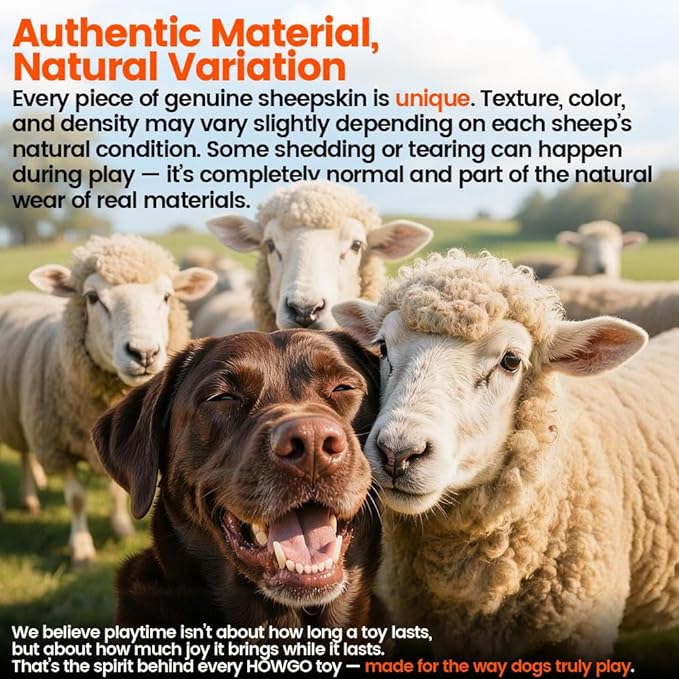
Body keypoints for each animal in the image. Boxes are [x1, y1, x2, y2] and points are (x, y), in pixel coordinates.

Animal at [0, 235, 216, 565]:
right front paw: (81, 550)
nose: (143, 353)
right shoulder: (59, 449)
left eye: (167, 297)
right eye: (92, 297)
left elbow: (117, 490)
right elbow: (76, 499)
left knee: (25, 455)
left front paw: (121, 527)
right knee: (24, 454)